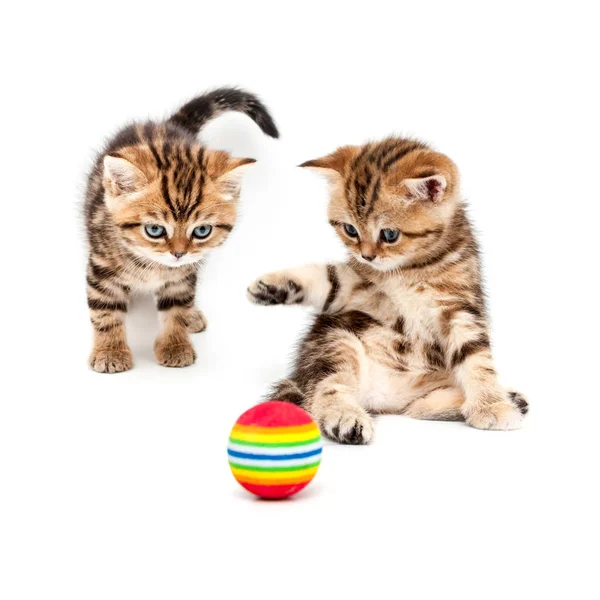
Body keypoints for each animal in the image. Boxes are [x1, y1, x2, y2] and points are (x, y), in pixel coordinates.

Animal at [84, 87, 278, 372]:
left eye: (202, 231)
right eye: (154, 230)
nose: (178, 254)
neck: (150, 264)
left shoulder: (183, 275)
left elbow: (176, 307)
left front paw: (175, 345)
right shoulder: (101, 266)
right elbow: (104, 310)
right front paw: (110, 351)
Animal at [246, 138, 528, 442]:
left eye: (389, 234)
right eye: (350, 230)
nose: (367, 256)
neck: (413, 267)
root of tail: (383, 398)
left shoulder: (459, 305)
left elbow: (475, 356)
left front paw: (492, 404)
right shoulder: (368, 295)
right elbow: (331, 278)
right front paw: (273, 286)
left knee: (418, 407)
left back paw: (507, 398)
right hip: (334, 338)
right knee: (328, 388)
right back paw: (344, 417)